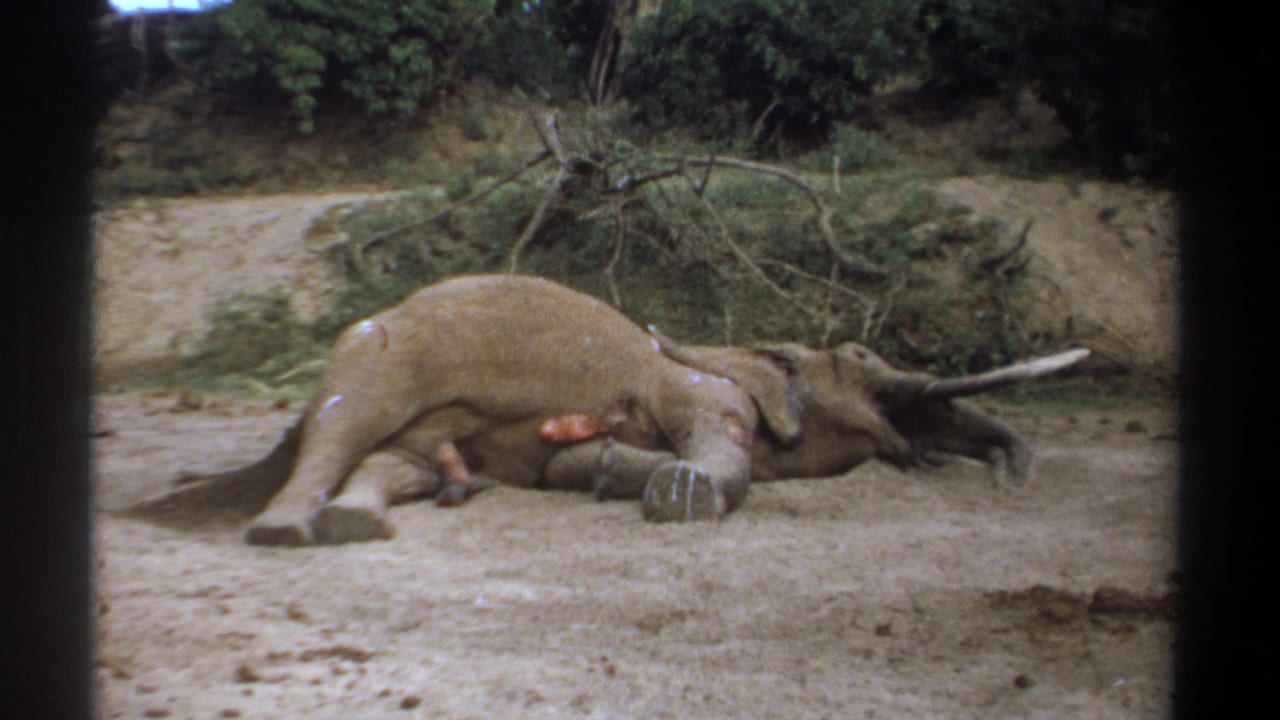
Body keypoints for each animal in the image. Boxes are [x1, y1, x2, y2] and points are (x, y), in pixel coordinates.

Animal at [130, 274, 1088, 546]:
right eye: (859, 360)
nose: (1009, 478)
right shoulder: (703, 387)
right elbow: (715, 446)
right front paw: (678, 495)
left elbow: (569, 464)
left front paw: (610, 476)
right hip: (380, 349)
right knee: (345, 422)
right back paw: (283, 530)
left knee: (396, 460)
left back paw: (373, 519)